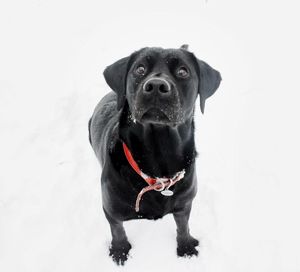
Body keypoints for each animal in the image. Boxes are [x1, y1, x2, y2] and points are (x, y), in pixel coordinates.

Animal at [88, 45, 221, 264]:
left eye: (183, 71)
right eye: (140, 69)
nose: (157, 85)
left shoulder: (184, 203)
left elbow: (183, 226)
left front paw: (186, 246)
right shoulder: (111, 209)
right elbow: (117, 230)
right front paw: (120, 251)